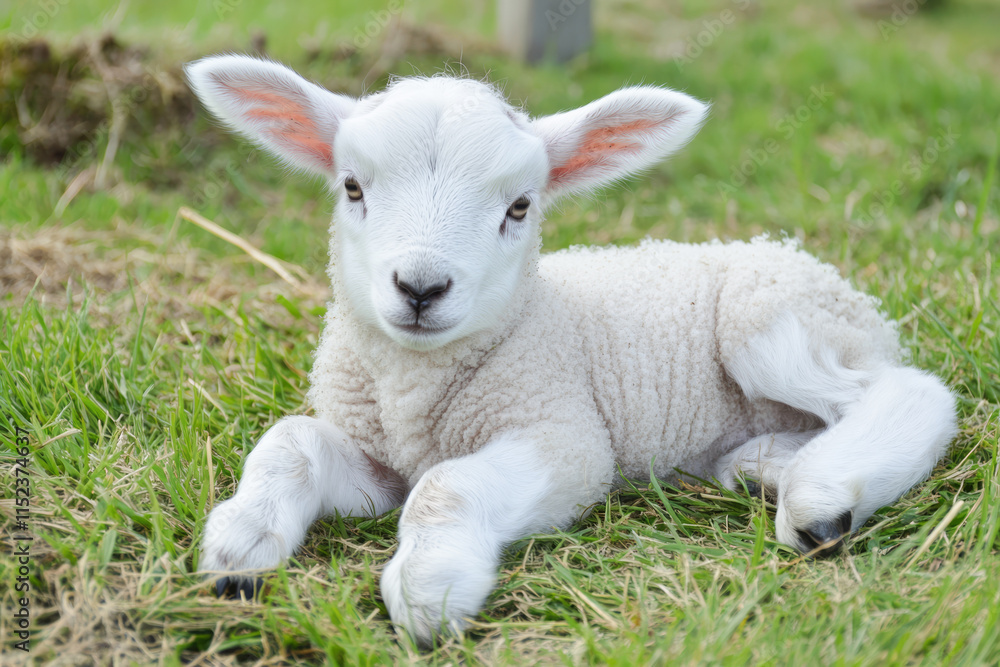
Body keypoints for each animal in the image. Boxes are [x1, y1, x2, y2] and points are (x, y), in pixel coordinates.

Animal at [186, 54, 958, 646]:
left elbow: (448, 487)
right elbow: (291, 443)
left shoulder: (566, 438)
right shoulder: (379, 462)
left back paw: (819, 496)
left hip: (776, 323)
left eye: (520, 206)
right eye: (351, 187)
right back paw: (764, 464)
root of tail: (833, 280)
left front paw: (431, 586)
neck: (413, 389)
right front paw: (240, 545)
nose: (421, 288)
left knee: (907, 393)